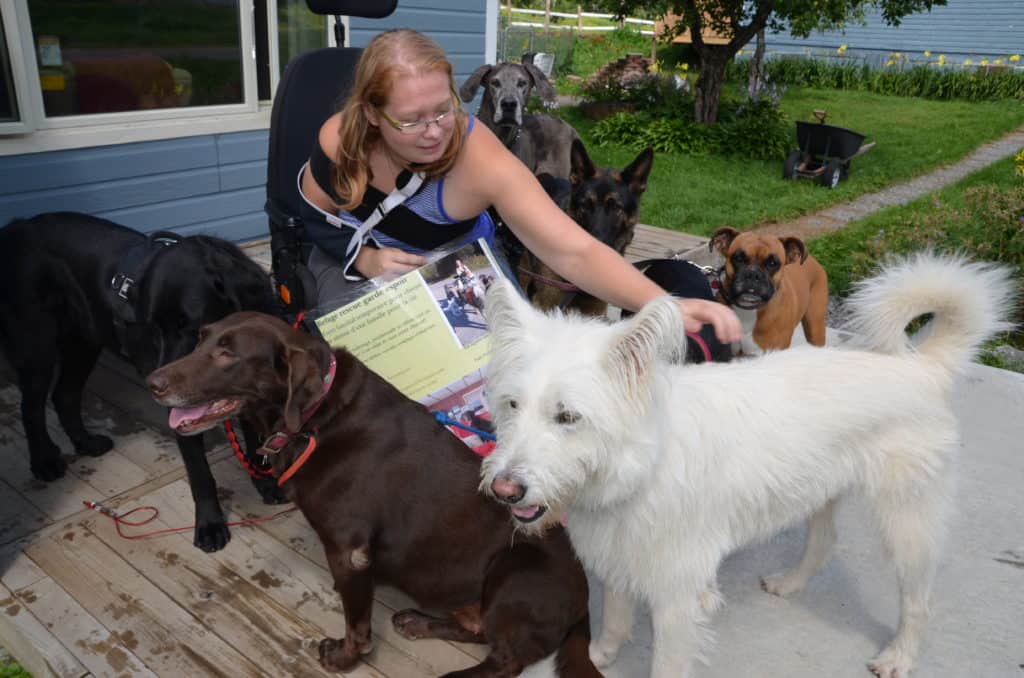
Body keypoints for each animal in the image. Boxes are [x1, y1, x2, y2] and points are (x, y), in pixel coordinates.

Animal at [0, 213, 280, 553]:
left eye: (197, 329)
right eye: (154, 328)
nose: (156, 385)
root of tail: (16, 226)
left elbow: (254, 444)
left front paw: (265, 483)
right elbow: (200, 473)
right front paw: (210, 524)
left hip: (83, 342)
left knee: (64, 395)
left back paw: (86, 443)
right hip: (37, 346)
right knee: (31, 406)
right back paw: (44, 461)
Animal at [479, 255, 1015, 678]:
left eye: (567, 417)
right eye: (512, 406)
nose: (505, 490)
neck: (641, 465)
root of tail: (920, 365)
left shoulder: (675, 602)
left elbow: (665, 663)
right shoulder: (618, 564)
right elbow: (613, 620)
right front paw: (598, 656)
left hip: (908, 524)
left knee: (918, 601)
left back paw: (900, 656)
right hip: (820, 491)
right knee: (824, 542)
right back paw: (790, 583)